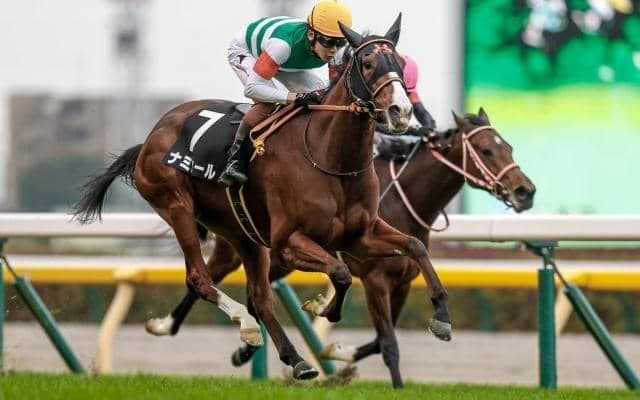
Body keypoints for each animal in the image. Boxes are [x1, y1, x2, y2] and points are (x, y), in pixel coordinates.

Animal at [74, 14, 452, 381]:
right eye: (369, 62)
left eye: (399, 62)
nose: (401, 111)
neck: (330, 159)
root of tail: (151, 137)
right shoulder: (289, 242)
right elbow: (341, 273)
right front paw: (322, 307)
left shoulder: (360, 235)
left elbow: (415, 248)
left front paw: (442, 317)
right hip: (176, 205)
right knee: (201, 278)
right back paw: (243, 325)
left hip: (244, 234)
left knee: (260, 297)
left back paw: (295, 359)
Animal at [145, 108, 536, 387]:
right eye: (486, 149)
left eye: (509, 147)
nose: (525, 191)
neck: (405, 201)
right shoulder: (376, 279)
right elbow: (389, 344)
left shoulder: (402, 282)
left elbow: (380, 338)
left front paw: (339, 350)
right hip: (239, 247)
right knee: (207, 278)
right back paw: (166, 325)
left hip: (279, 258)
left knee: (257, 293)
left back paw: (254, 344)